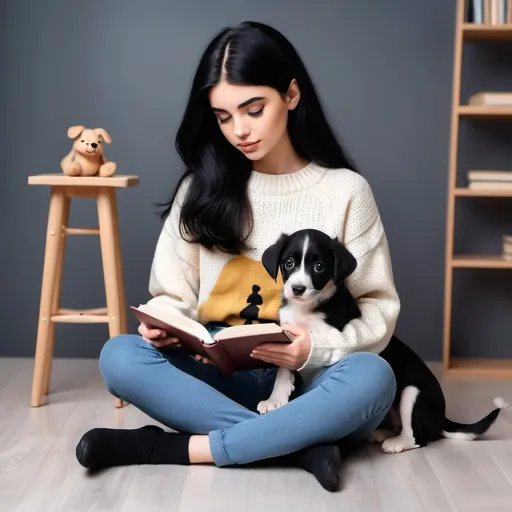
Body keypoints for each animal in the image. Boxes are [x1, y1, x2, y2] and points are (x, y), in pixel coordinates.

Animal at [260, 230, 508, 454]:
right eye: (289, 263)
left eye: (319, 266)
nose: (297, 289)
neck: (306, 308)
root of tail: (442, 418)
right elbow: (283, 369)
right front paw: (275, 398)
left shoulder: (325, 336)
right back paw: (380, 433)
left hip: (413, 393)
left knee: (418, 437)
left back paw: (396, 443)